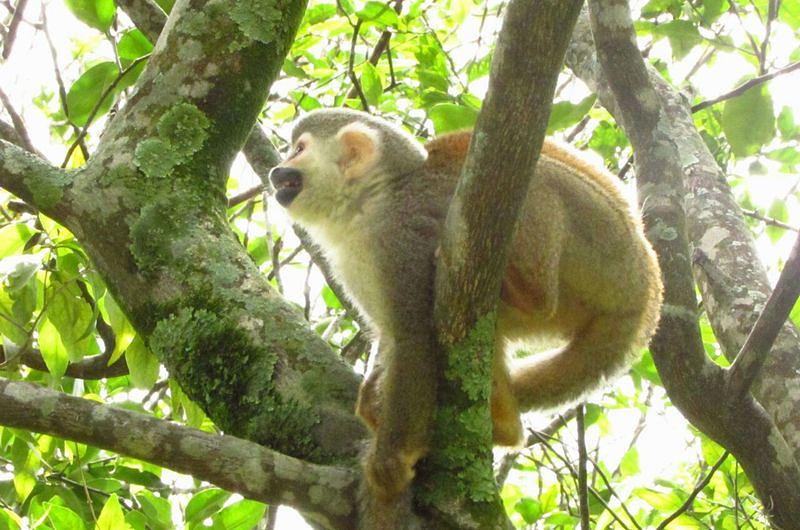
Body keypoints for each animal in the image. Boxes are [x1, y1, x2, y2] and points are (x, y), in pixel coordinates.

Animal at [268, 108, 664, 500]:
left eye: (298, 150)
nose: (275, 171)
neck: (372, 202)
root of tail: (647, 290)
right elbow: (391, 335)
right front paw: (371, 396)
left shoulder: (403, 238)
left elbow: (413, 339)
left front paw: (392, 459)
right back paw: (505, 425)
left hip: (602, 247)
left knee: (539, 179)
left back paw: (529, 292)